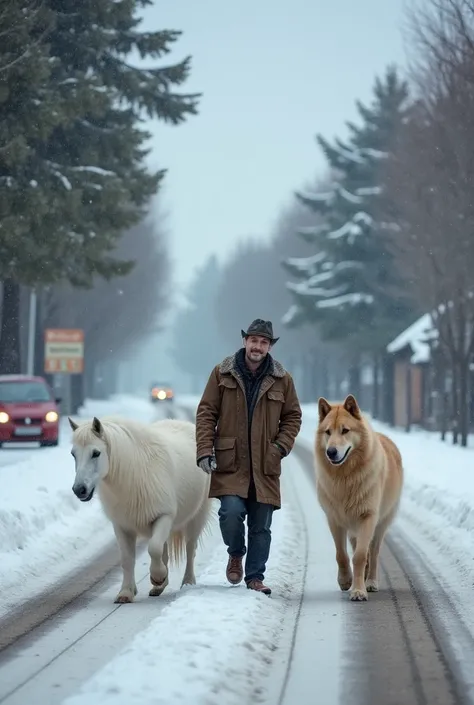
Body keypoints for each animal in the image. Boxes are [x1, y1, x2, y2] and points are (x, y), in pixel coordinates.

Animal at [68, 416, 211, 604]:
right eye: (73, 454)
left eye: (96, 453)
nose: (79, 490)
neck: (134, 473)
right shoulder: (122, 526)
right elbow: (128, 559)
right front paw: (126, 592)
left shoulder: (164, 516)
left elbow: (154, 548)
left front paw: (157, 577)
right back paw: (159, 588)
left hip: (196, 517)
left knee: (190, 548)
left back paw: (187, 582)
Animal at [314, 390, 404, 600]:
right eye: (328, 432)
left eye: (345, 430)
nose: (331, 452)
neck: (345, 477)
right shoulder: (334, 519)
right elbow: (342, 555)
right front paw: (346, 581)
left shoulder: (367, 517)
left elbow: (361, 556)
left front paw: (358, 591)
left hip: (380, 525)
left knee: (374, 552)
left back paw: (370, 582)